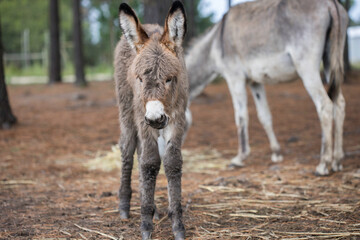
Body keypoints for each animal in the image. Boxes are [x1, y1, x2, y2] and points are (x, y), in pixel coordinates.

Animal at [114, 1, 188, 240]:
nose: (155, 118)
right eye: (139, 79)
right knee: (128, 147)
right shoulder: (143, 118)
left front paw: (177, 225)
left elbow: (172, 162)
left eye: (170, 79)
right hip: (128, 110)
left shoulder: (177, 118)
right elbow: (149, 163)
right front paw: (145, 226)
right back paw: (125, 206)